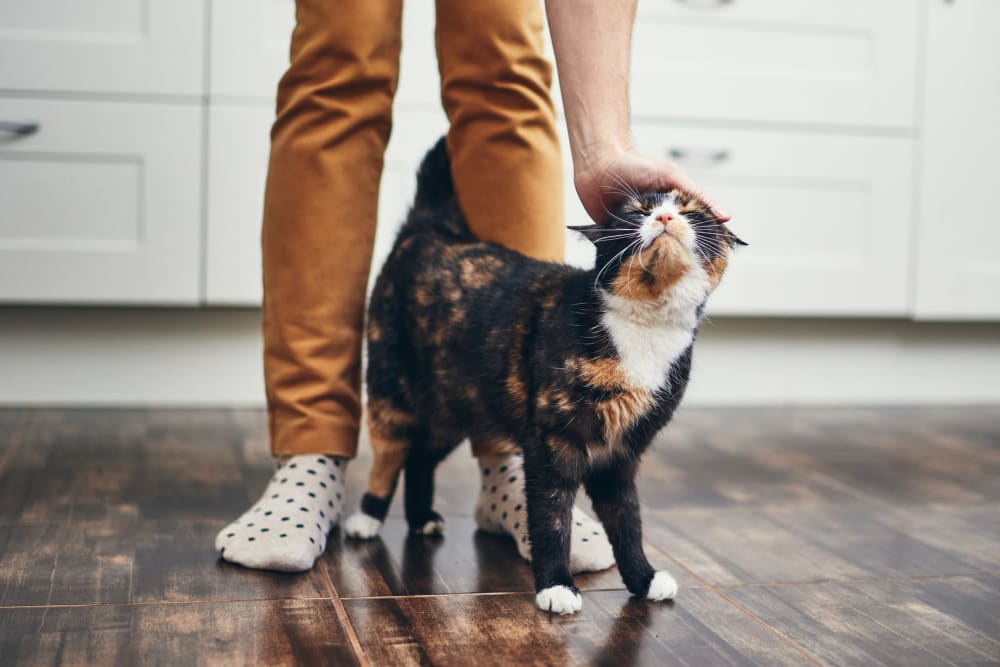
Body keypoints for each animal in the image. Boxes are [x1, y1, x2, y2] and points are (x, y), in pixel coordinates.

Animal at [344, 137, 744, 616]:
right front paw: (555, 585)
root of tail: (430, 231)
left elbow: (628, 522)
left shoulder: (621, 454)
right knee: (390, 455)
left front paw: (643, 578)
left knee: (421, 456)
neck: (644, 327)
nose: (665, 217)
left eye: (691, 211)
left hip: (456, 405)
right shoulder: (553, 442)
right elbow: (552, 518)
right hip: (393, 391)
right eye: (637, 211)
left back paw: (421, 518)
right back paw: (367, 517)